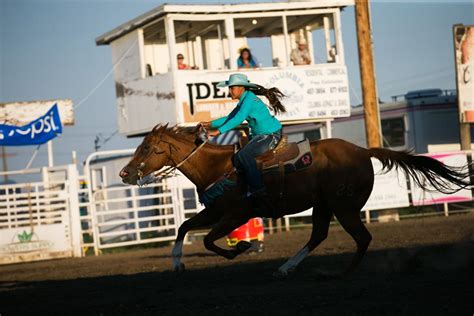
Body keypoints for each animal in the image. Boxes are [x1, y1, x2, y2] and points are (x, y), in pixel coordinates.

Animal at [119, 124, 470, 278]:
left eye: (147, 148)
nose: (124, 173)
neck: (218, 167)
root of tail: (363, 151)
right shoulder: (215, 212)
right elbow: (183, 228)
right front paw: (177, 262)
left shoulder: (235, 214)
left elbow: (207, 240)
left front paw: (241, 248)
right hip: (324, 206)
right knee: (319, 236)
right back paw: (287, 268)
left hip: (343, 207)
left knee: (362, 237)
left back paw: (342, 273)